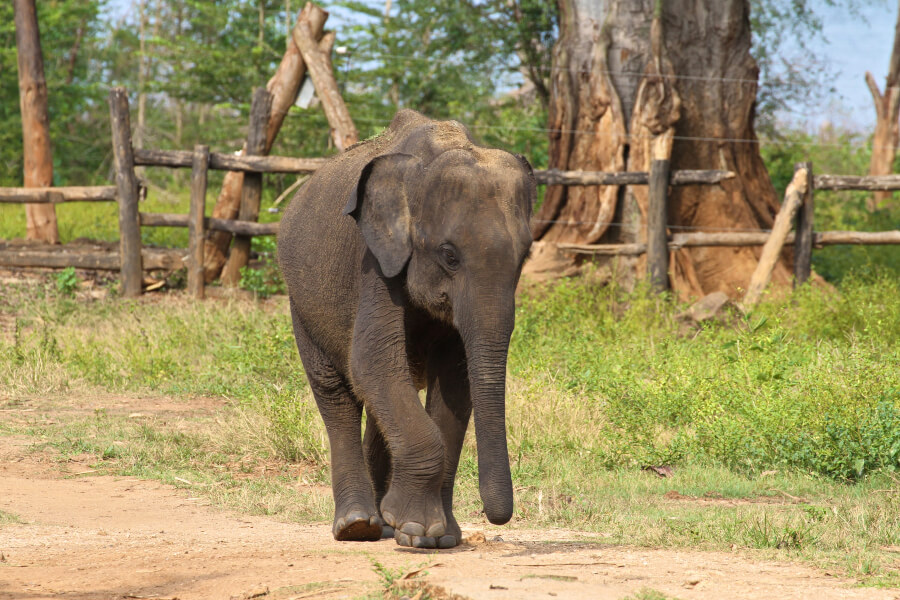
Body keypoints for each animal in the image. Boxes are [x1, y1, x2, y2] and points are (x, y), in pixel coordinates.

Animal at [277, 109, 534, 549]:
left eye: (526, 257)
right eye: (449, 255)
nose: (497, 517)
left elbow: (455, 379)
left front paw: (434, 537)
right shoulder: (376, 263)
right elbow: (372, 361)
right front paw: (416, 529)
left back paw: (381, 524)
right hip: (303, 304)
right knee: (337, 392)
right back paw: (358, 526)